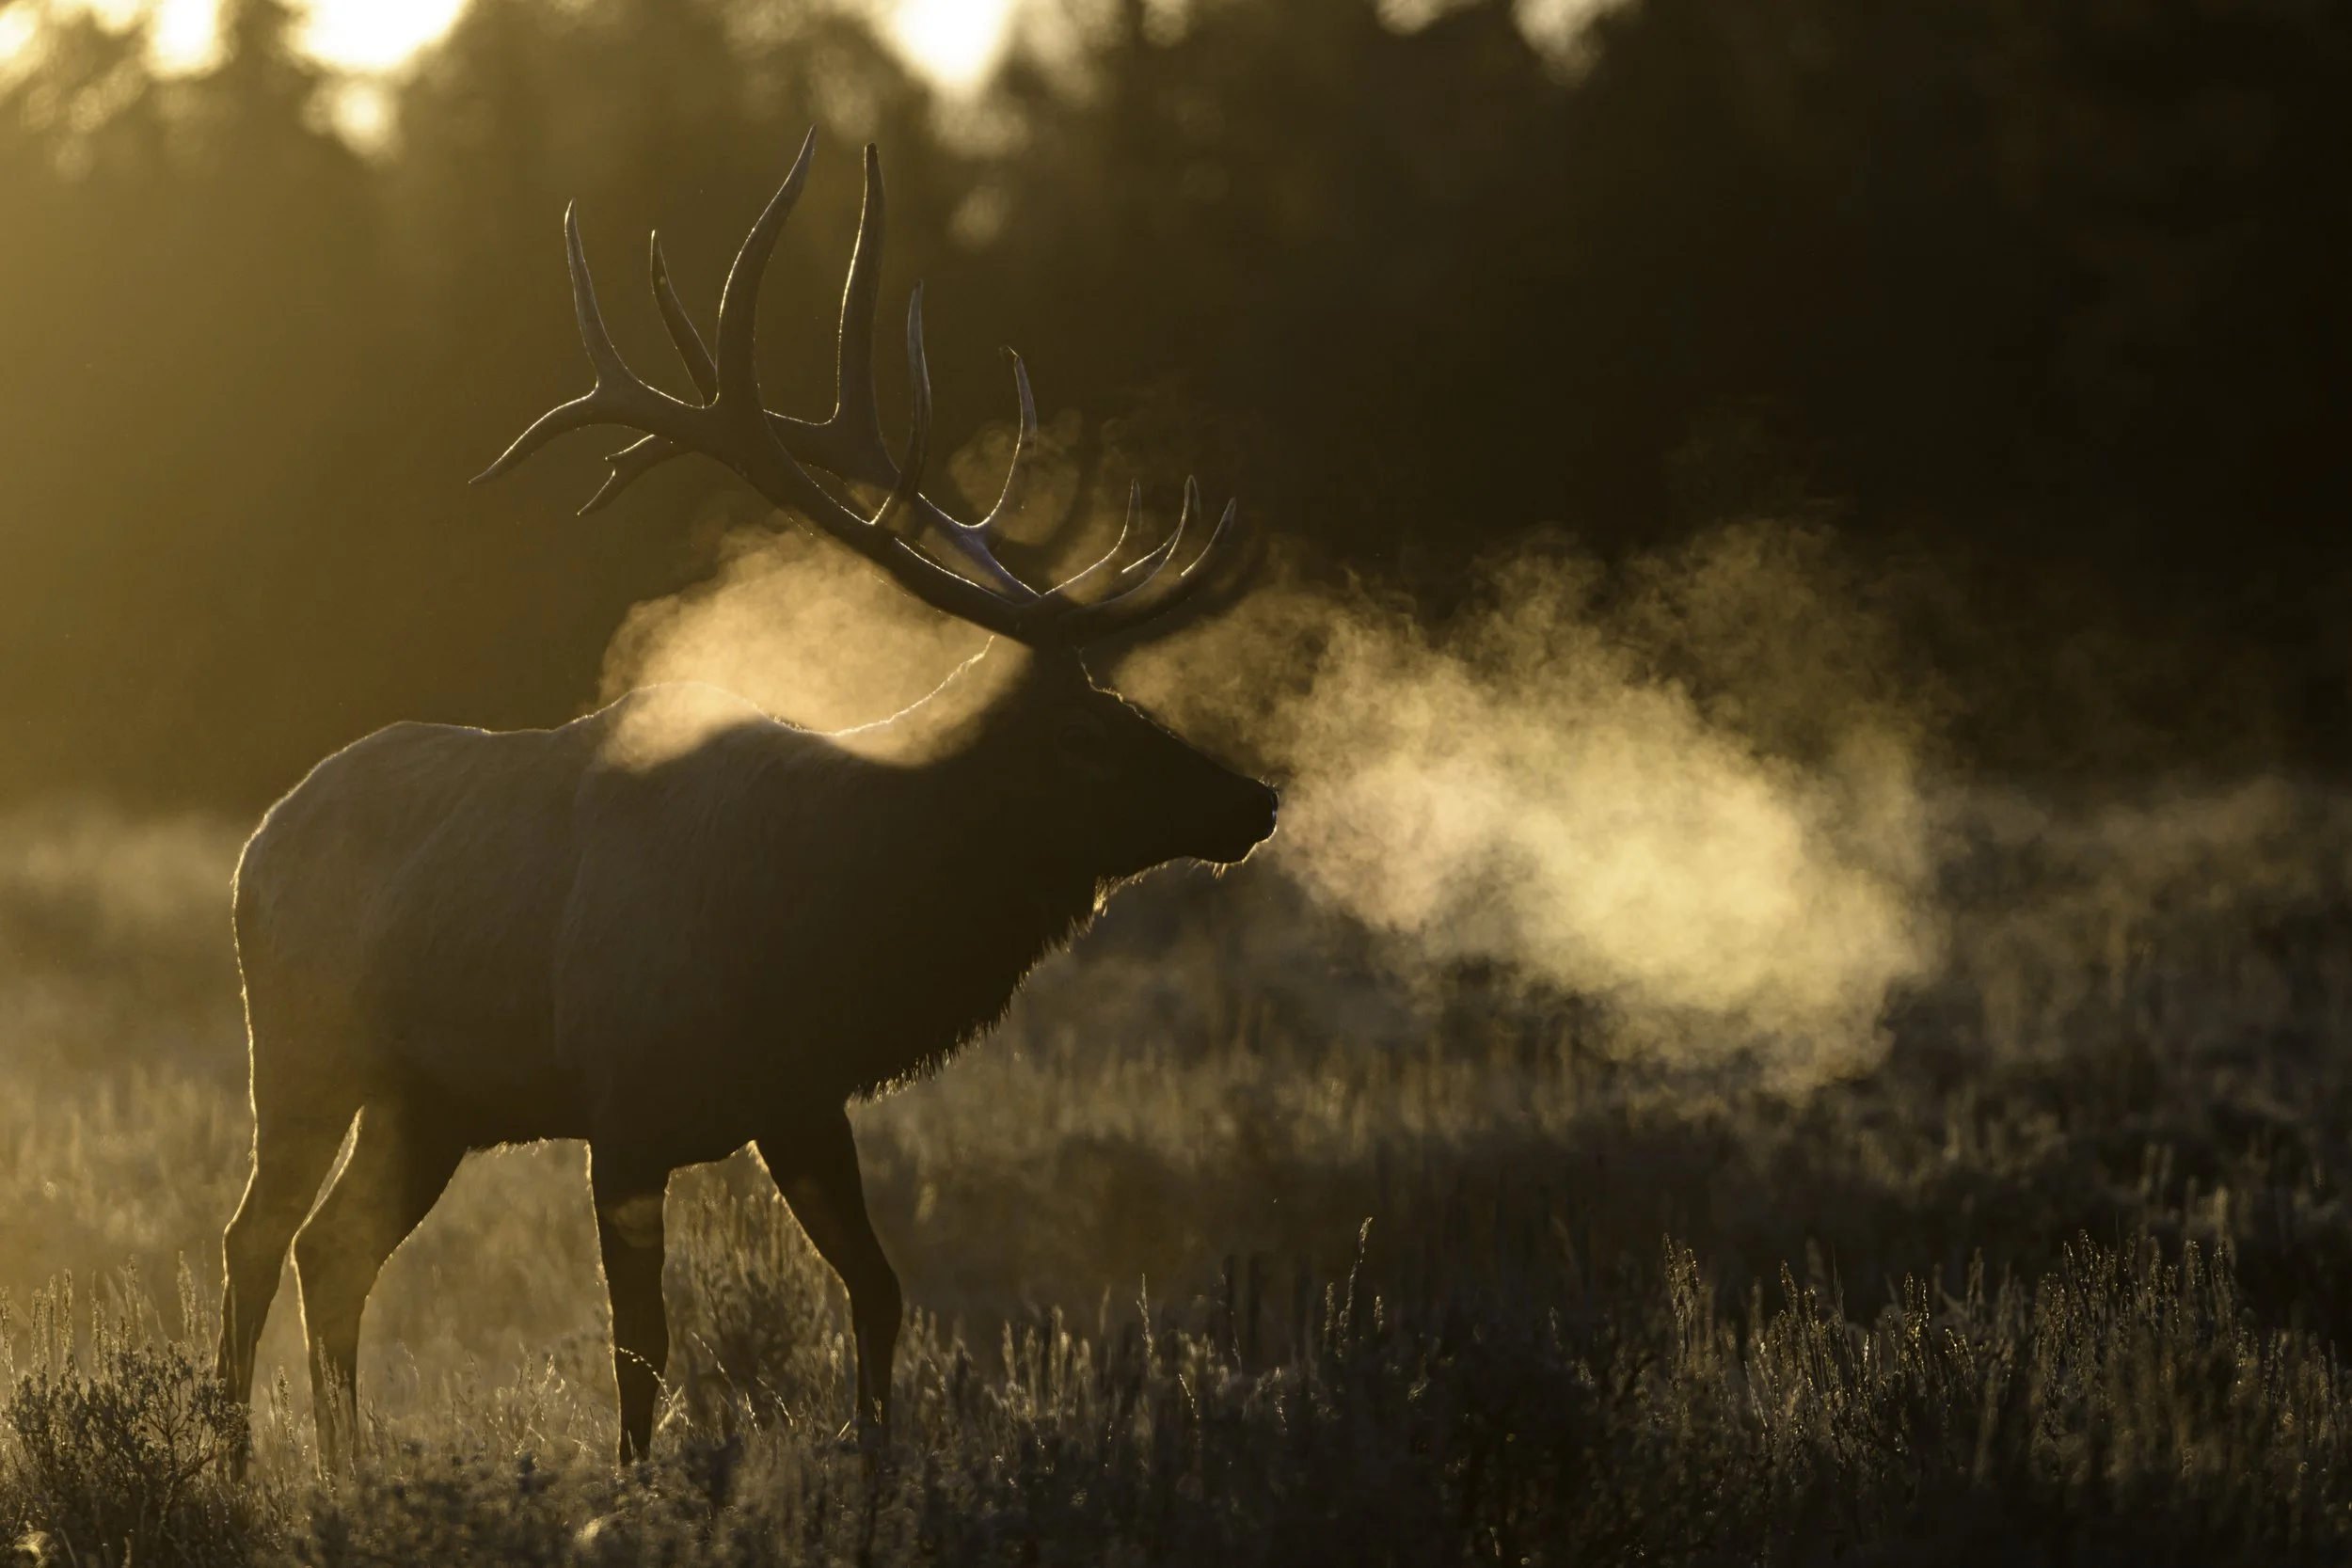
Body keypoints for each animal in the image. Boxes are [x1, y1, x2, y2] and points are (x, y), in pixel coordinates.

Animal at [213, 131, 1278, 1466]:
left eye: (1133, 702)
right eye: (1086, 731)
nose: (1256, 798)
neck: (820, 924)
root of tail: (254, 846)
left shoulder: (800, 1098)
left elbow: (879, 1292)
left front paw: (878, 1468)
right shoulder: (623, 1106)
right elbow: (642, 1345)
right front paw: (633, 1485)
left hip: (432, 1102)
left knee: (332, 1246)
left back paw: (348, 1466)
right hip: (304, 1048)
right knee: (257, 1235)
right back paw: (232, 1453)